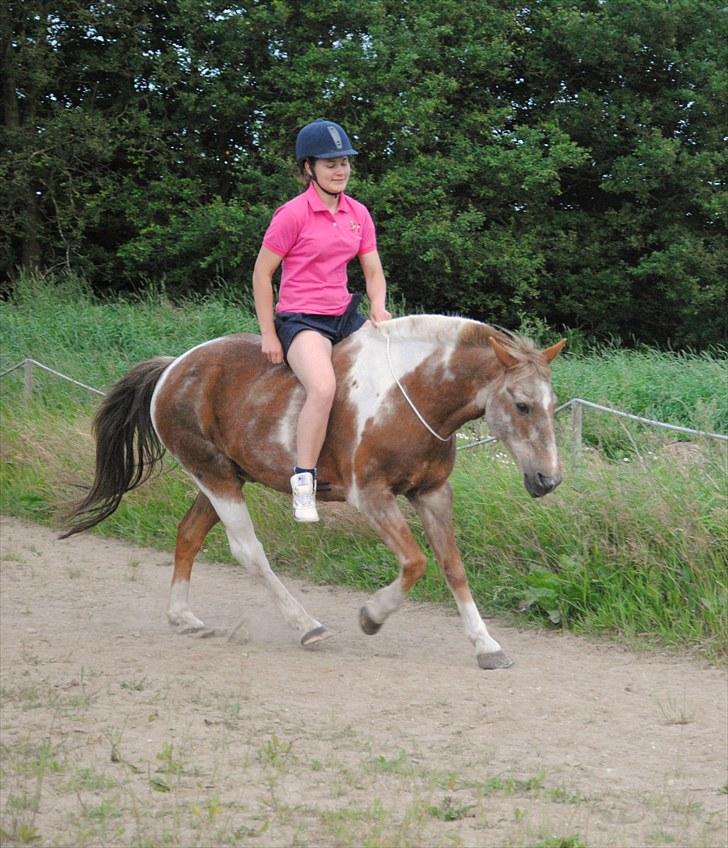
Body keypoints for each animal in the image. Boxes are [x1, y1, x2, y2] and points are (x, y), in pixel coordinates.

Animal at [61, 318, 564, 668]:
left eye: (551, 405)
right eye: (522, 405)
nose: (549, 480)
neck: (414, 394)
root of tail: (173, 368)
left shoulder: (433, 494)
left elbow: (452, 568)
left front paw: (486, 645)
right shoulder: (372, 497)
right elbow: (415, 563)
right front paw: (372, 616)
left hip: (221, 478)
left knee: (188, 535)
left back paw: (183, 617)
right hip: (215, 478)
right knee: (249, 551)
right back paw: (306, 626)